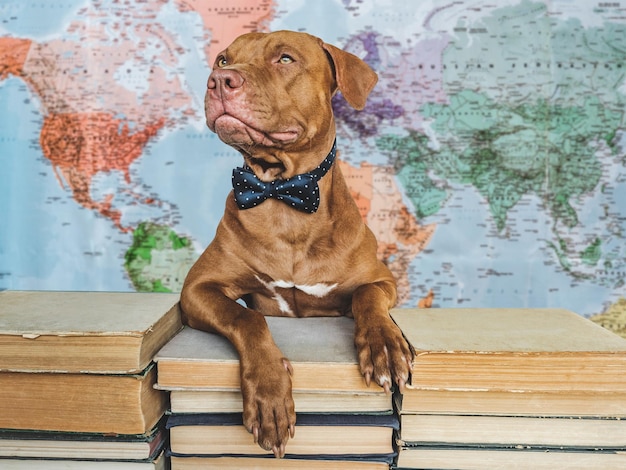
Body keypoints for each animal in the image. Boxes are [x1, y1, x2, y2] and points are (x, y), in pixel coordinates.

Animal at [180, 31, 412, 458]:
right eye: (223, 60)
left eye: (285, 59)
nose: (219, 81)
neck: (282, 195)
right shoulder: (198, 289)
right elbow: (248, 318)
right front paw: (270, 394)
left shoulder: (383, 281)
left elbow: (367, 296)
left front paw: (385, 346)